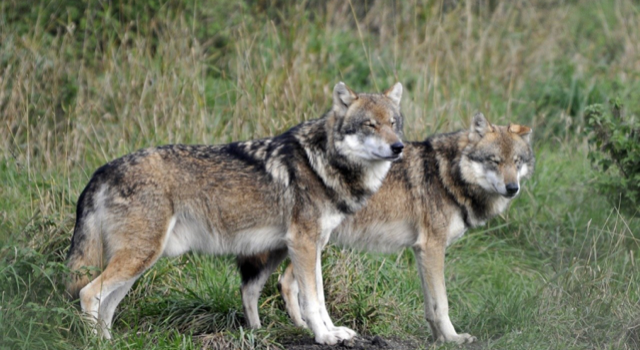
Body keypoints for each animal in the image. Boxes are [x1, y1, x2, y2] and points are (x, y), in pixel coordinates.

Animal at [65, 81, 404, 344]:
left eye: (393, 123)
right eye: (370, 125)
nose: (398, 147)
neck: (321, 162)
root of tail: (103, 170)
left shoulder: (314, 245)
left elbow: (318, 297)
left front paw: (333, 331)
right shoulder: (304, 244)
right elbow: (311, 300)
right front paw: (324, 336)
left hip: (139, 263)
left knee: (107, 305)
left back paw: (110, 342)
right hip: (139, 257)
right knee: (88, 293)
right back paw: (96, 342)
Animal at [238, 113, 532, 344]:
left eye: (517, 162)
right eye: (494, 161)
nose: (512, 188)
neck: (446, 175)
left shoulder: (421, 251)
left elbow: (430, 305)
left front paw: (438, 339)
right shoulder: (432, 248)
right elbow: (442, 303)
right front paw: (453, 339)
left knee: (281, 283)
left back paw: (291, 328)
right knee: (277, 284)